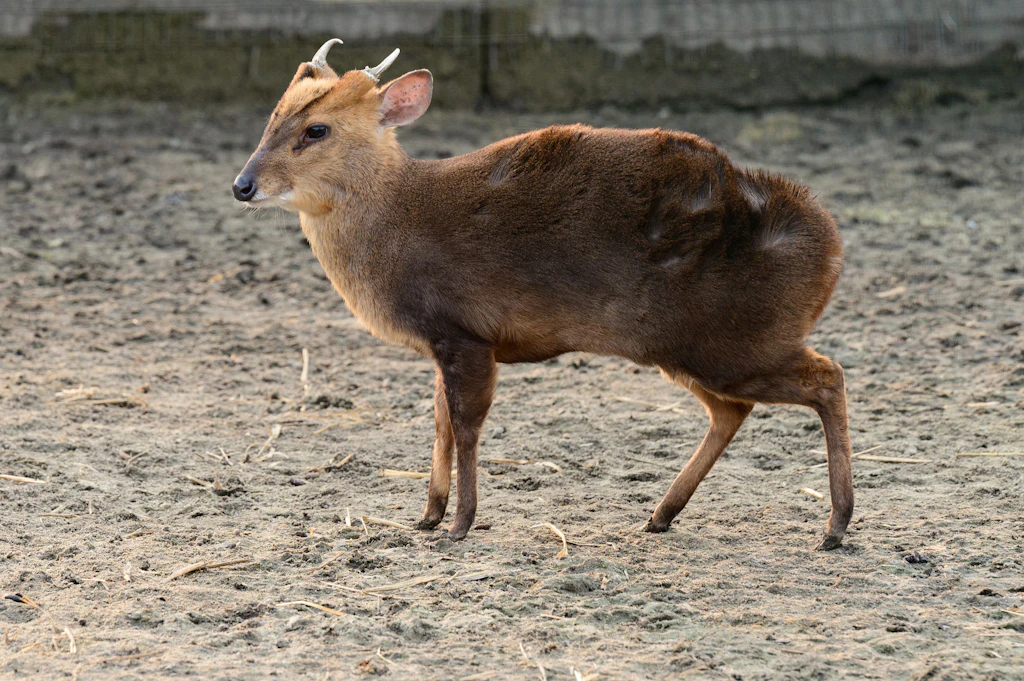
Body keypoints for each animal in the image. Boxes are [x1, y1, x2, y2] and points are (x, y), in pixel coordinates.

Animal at [233, 39, 854, 550]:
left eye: (316, 130)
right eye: (272, 117)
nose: (242, 185)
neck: (396, 226)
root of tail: (830, 250)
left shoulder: (465, 333)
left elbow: (465, 425)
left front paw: (460, 524)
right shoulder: (443, 343)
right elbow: (438, 422)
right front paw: (427, 516)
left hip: (734, 340)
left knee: (826, 377)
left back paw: (835, 525)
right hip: (692, 347)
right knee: (734, 408)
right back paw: (660, 515)